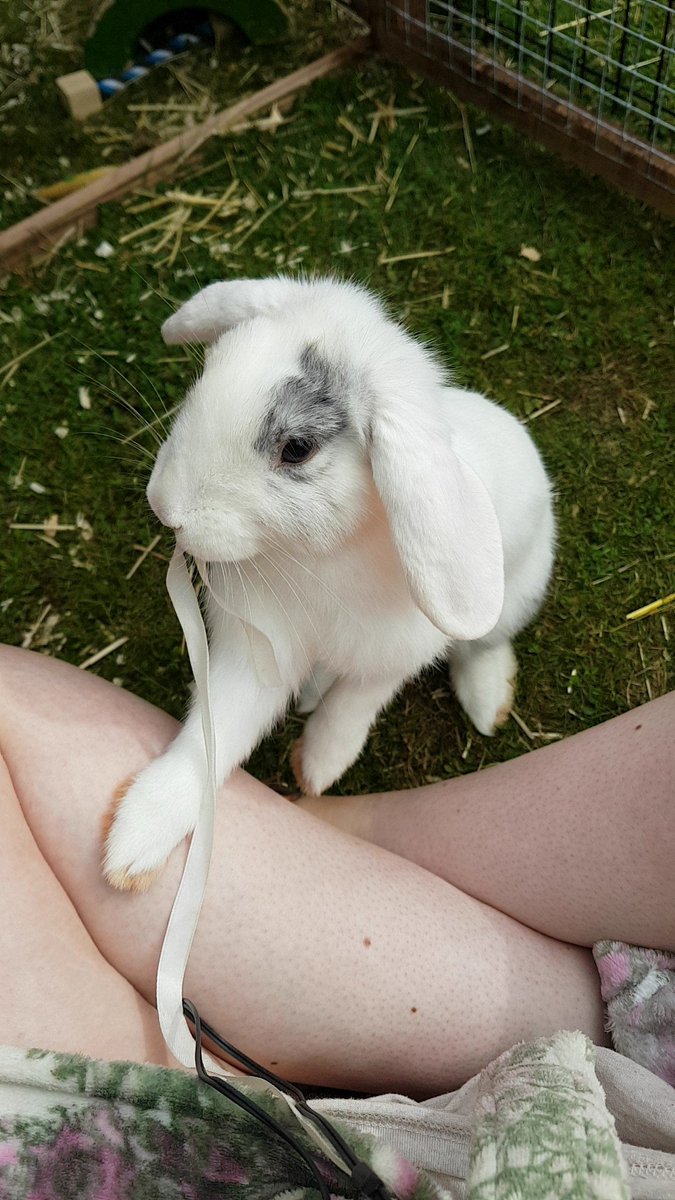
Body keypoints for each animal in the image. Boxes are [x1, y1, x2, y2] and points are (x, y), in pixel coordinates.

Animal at [103, 275, 555, 891]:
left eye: (297, 448)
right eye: (209, 372)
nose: (166, 507)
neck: (319, 555)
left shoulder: (390, 656)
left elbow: (351, 708)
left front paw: (318, 767)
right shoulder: (259, 652)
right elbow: (215, 734)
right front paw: (134, 842)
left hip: (512, 595)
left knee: (482, 647)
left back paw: (488, 702)